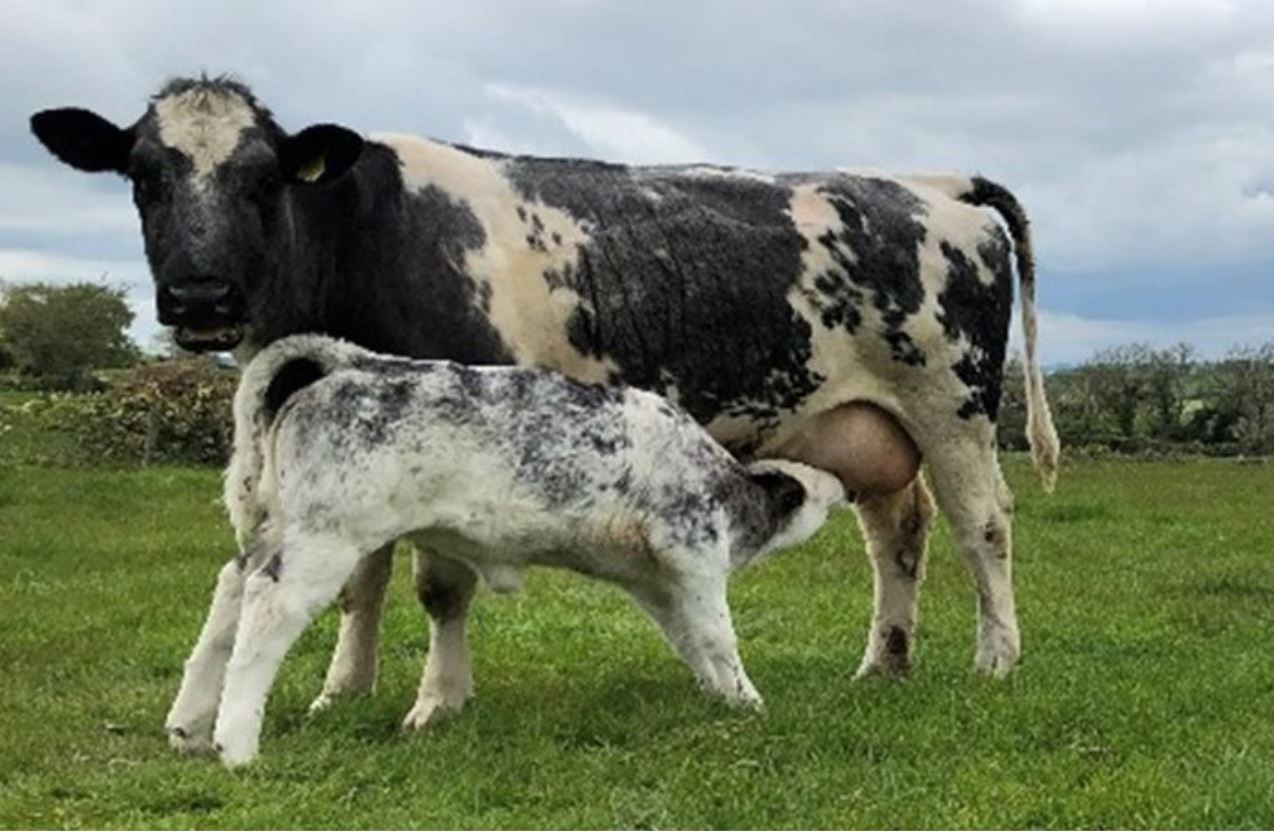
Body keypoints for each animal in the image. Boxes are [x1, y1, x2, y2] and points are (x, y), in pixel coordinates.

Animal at [193, 334, 847, 765]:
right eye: (809, 482)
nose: (842, 485)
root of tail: (353, 365)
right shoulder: (693, 550)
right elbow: (716, 637)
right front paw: (752, 703)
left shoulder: (656, 580)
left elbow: (687, 639)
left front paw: (724, 700)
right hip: (325, 540)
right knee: (264, 606)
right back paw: (235, 746)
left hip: (277, 529)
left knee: (230, 588)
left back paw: (187, 728)